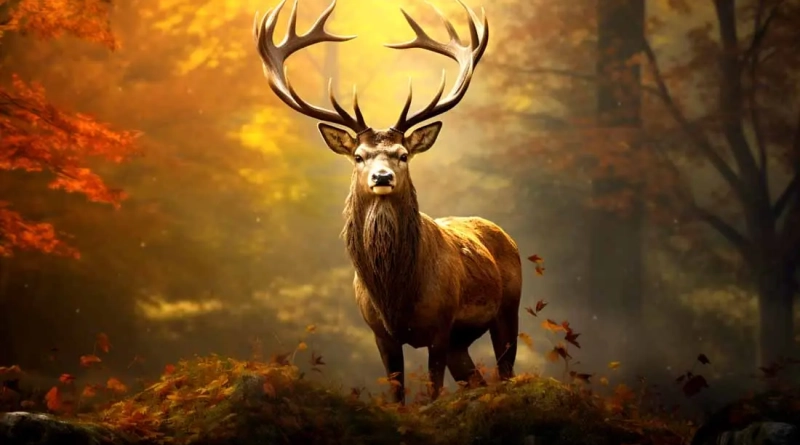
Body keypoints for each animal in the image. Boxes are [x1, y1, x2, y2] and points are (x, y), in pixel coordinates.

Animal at [254, 0, 522, 404]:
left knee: (505, 373)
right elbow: (397, 397)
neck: (396, 296)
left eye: (403, 154)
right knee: (476, 378)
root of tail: (504, 234)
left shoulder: (440, 326)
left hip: (508, 309)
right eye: (359, 156)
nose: (382, 177)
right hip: (461, 341)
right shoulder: (380, 333)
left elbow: (432, 393)